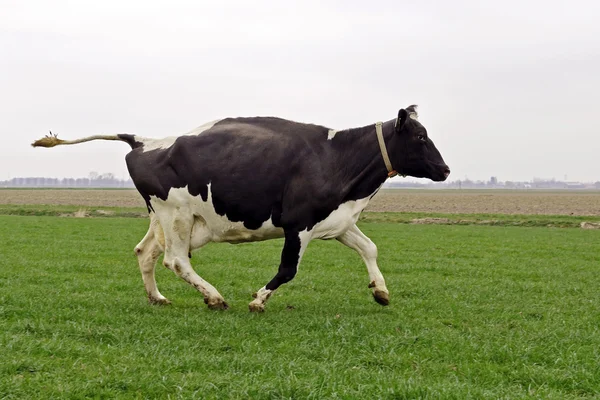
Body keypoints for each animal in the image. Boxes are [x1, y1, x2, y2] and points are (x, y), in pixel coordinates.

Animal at [30, 106, 448, 312]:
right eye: (420, 137)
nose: (445, 169)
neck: (337, 158)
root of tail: (146, 140)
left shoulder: (338, 220)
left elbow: (370, 248)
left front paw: (381, 292)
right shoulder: (299, 224)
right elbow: (288, 269)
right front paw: (258, 300)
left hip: (170, 220)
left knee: (145, 253)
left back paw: (158, 299)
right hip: (177, 215)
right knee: (175, 260)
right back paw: (214, 298)